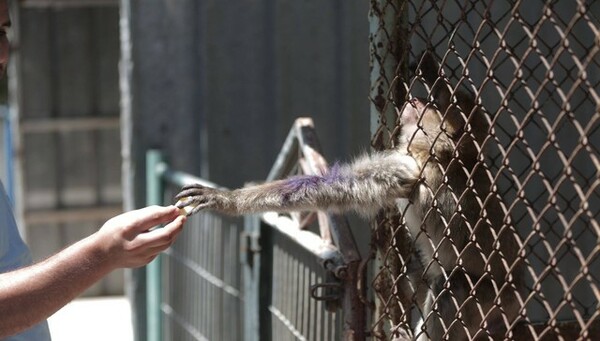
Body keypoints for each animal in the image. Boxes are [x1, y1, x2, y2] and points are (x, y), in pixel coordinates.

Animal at [175, 51, 524, 338]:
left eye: (431, 108)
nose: (417, 101)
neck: (440, 153)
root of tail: (515, 297)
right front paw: (431, 69)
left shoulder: (409, 165)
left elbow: (333, 187)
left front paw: (227, 200)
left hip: (487, 297)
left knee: (453, 284)